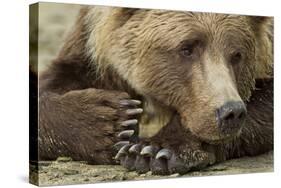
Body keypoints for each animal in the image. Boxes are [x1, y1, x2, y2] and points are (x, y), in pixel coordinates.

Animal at [37, 5, 272, 175]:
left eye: (237, 55)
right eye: (186, 48)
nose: (231, 112)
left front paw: (153, 151)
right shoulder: (88, 45)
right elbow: (54, 82)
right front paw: (110, 120)